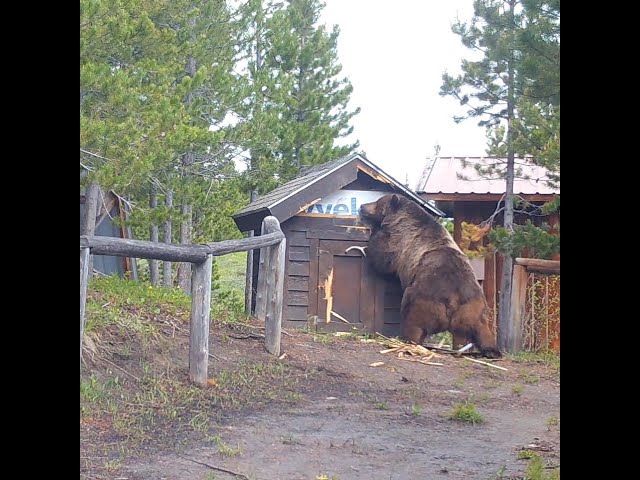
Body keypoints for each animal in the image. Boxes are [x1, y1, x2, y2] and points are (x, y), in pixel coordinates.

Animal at [359, 194, 501, 358]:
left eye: (377, 202)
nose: (362, 206)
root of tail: (453, 300)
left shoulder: (399, 241)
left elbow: (382, 257)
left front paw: (371, 236)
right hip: (473, 306)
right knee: (482, 328)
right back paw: (491, 350)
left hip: (423, 298)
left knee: (413, 318)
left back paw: (407, 340)